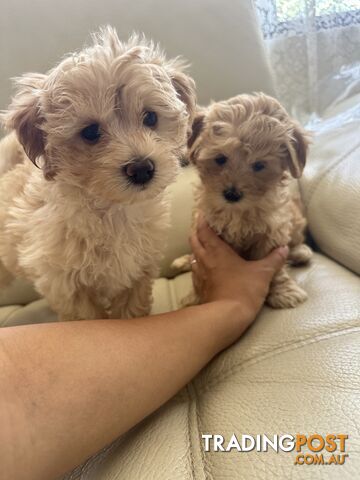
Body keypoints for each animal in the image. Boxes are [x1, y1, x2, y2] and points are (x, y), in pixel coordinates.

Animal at [172, 94, 312, 310]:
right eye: (221, 159)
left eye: (259, 165)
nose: (232, 194)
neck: (237, 212)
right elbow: (198, 271)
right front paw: (196, 298)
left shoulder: (272, 232)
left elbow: (275, 269)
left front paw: (283, 291)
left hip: (295, 219)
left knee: (296, 239)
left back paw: (301, 252)